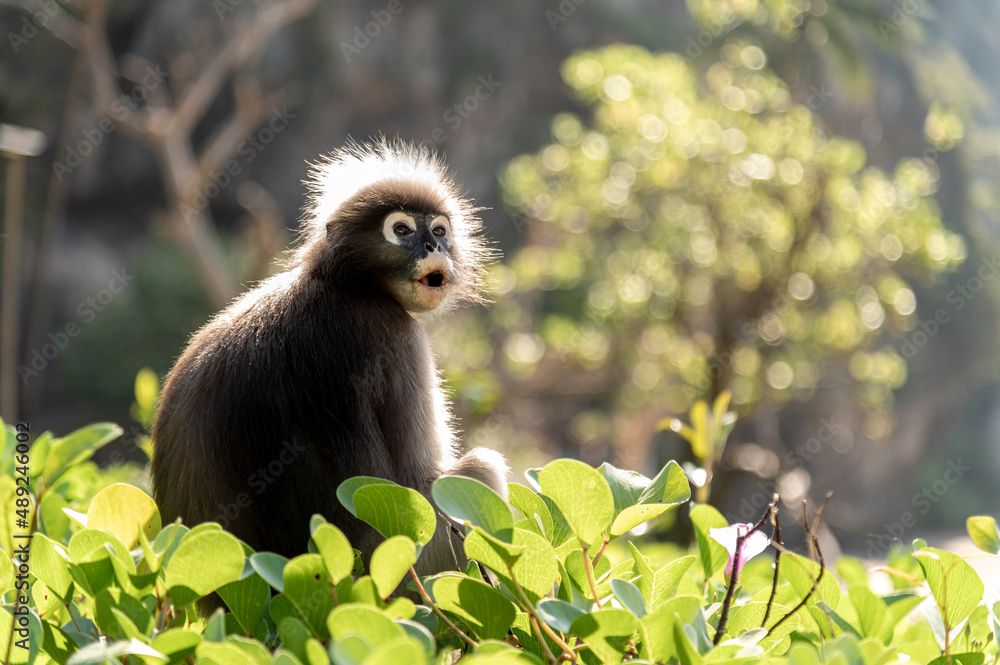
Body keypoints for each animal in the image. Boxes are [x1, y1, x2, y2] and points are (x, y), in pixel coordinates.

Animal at [151, 139, 508, 582]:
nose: (435, 246)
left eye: (439, 231)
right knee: (481, 468)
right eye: (402, 230)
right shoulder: (397, 335)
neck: (345, 283)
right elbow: (423, 479)